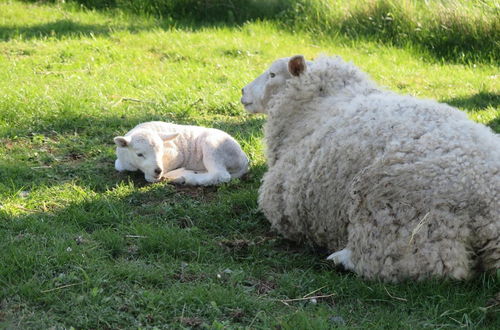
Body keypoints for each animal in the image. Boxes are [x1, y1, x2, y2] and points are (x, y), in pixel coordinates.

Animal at [112, 120, 247, 186]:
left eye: (161, 151)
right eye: (139, 154)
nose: (158, 170)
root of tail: (244, 161)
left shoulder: (176, 155)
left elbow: (151, 178)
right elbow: (118, 166)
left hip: (214, 147)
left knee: (221, 175)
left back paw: (186, 179)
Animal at [240, 55, 498, 282]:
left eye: (272, 74)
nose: (242, 92)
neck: (314, 106)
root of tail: (489, 211)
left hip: (403, 222)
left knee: (413, 265)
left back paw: (341, 258)